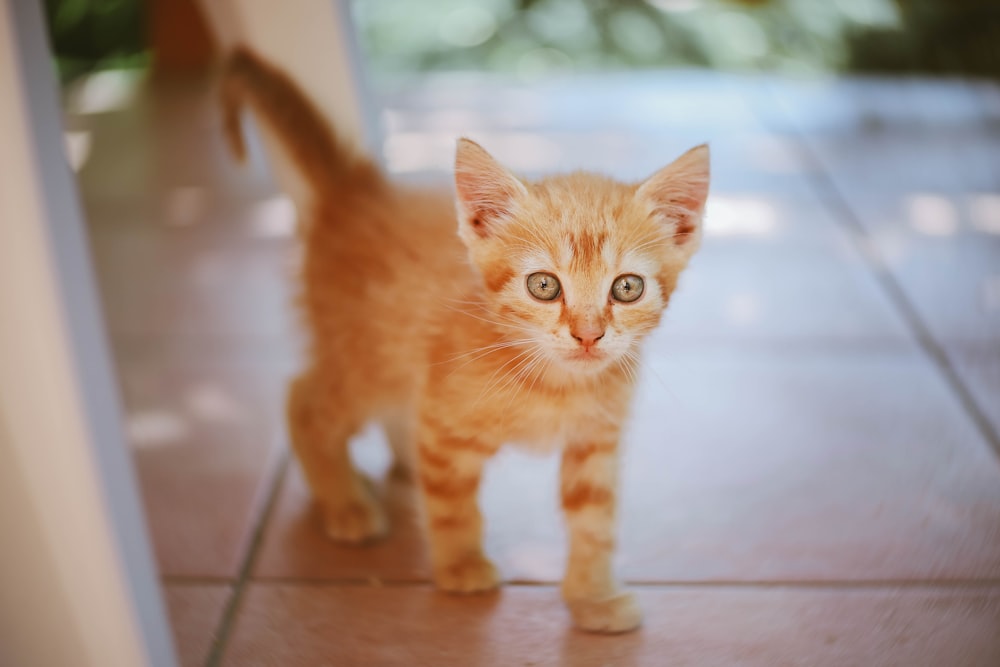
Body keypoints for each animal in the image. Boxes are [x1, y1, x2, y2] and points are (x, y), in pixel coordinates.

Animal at [226, 47, 708, 632]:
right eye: (544, 285)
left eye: (627, 287)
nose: (589, 334)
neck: (553, 384)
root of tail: (359, 193)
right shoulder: (445, 424)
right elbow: (452, 501)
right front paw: (460, 567)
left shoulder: (596, 442)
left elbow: (594, 522)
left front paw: (593, 597)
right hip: (368, 360)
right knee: (305, 400)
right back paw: (345, 502)